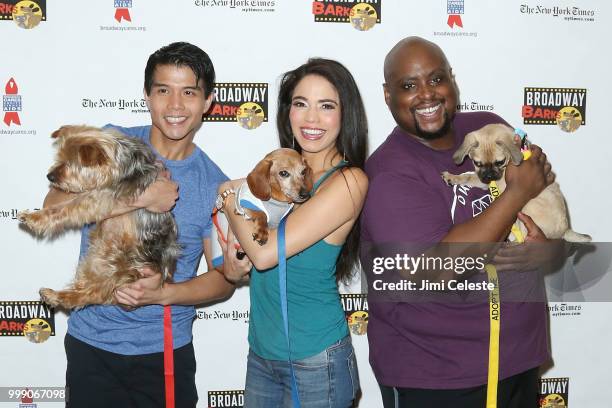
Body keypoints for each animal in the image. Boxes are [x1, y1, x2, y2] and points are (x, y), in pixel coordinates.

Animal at [16, 126, 179, 308]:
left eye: (70, 163)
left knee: (93, 293)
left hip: (112, 261)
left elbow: (66, 208)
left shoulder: (101, 198)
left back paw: (57, 296)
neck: (123, 160)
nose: (50, 176)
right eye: (60, 159)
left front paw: (33, 217)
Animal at [442, 122, 592, 241]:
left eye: (500, 162)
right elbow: (468, 176)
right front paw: (452, 177)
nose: (489, 176)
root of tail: (565, 231)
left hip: (527, 207)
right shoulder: (483, 181)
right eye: (477, 163)